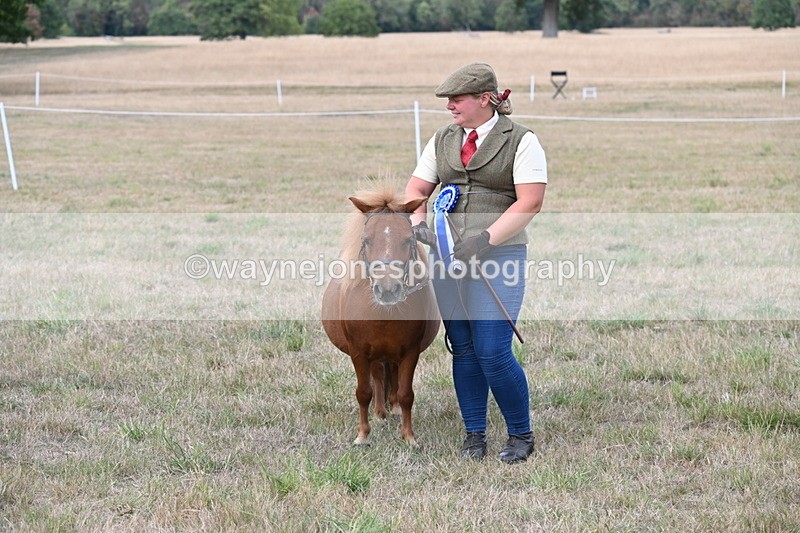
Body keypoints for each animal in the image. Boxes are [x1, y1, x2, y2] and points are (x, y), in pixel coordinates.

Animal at [321, 184, 440, 446]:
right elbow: (363, 392)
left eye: (408, 239)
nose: (387, 290)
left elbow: (406, 394)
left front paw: (409, 436)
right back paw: (379, 412)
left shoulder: (410, 352)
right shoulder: (358, 352)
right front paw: (363, 435)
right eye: (366, 240)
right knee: (377, 377)